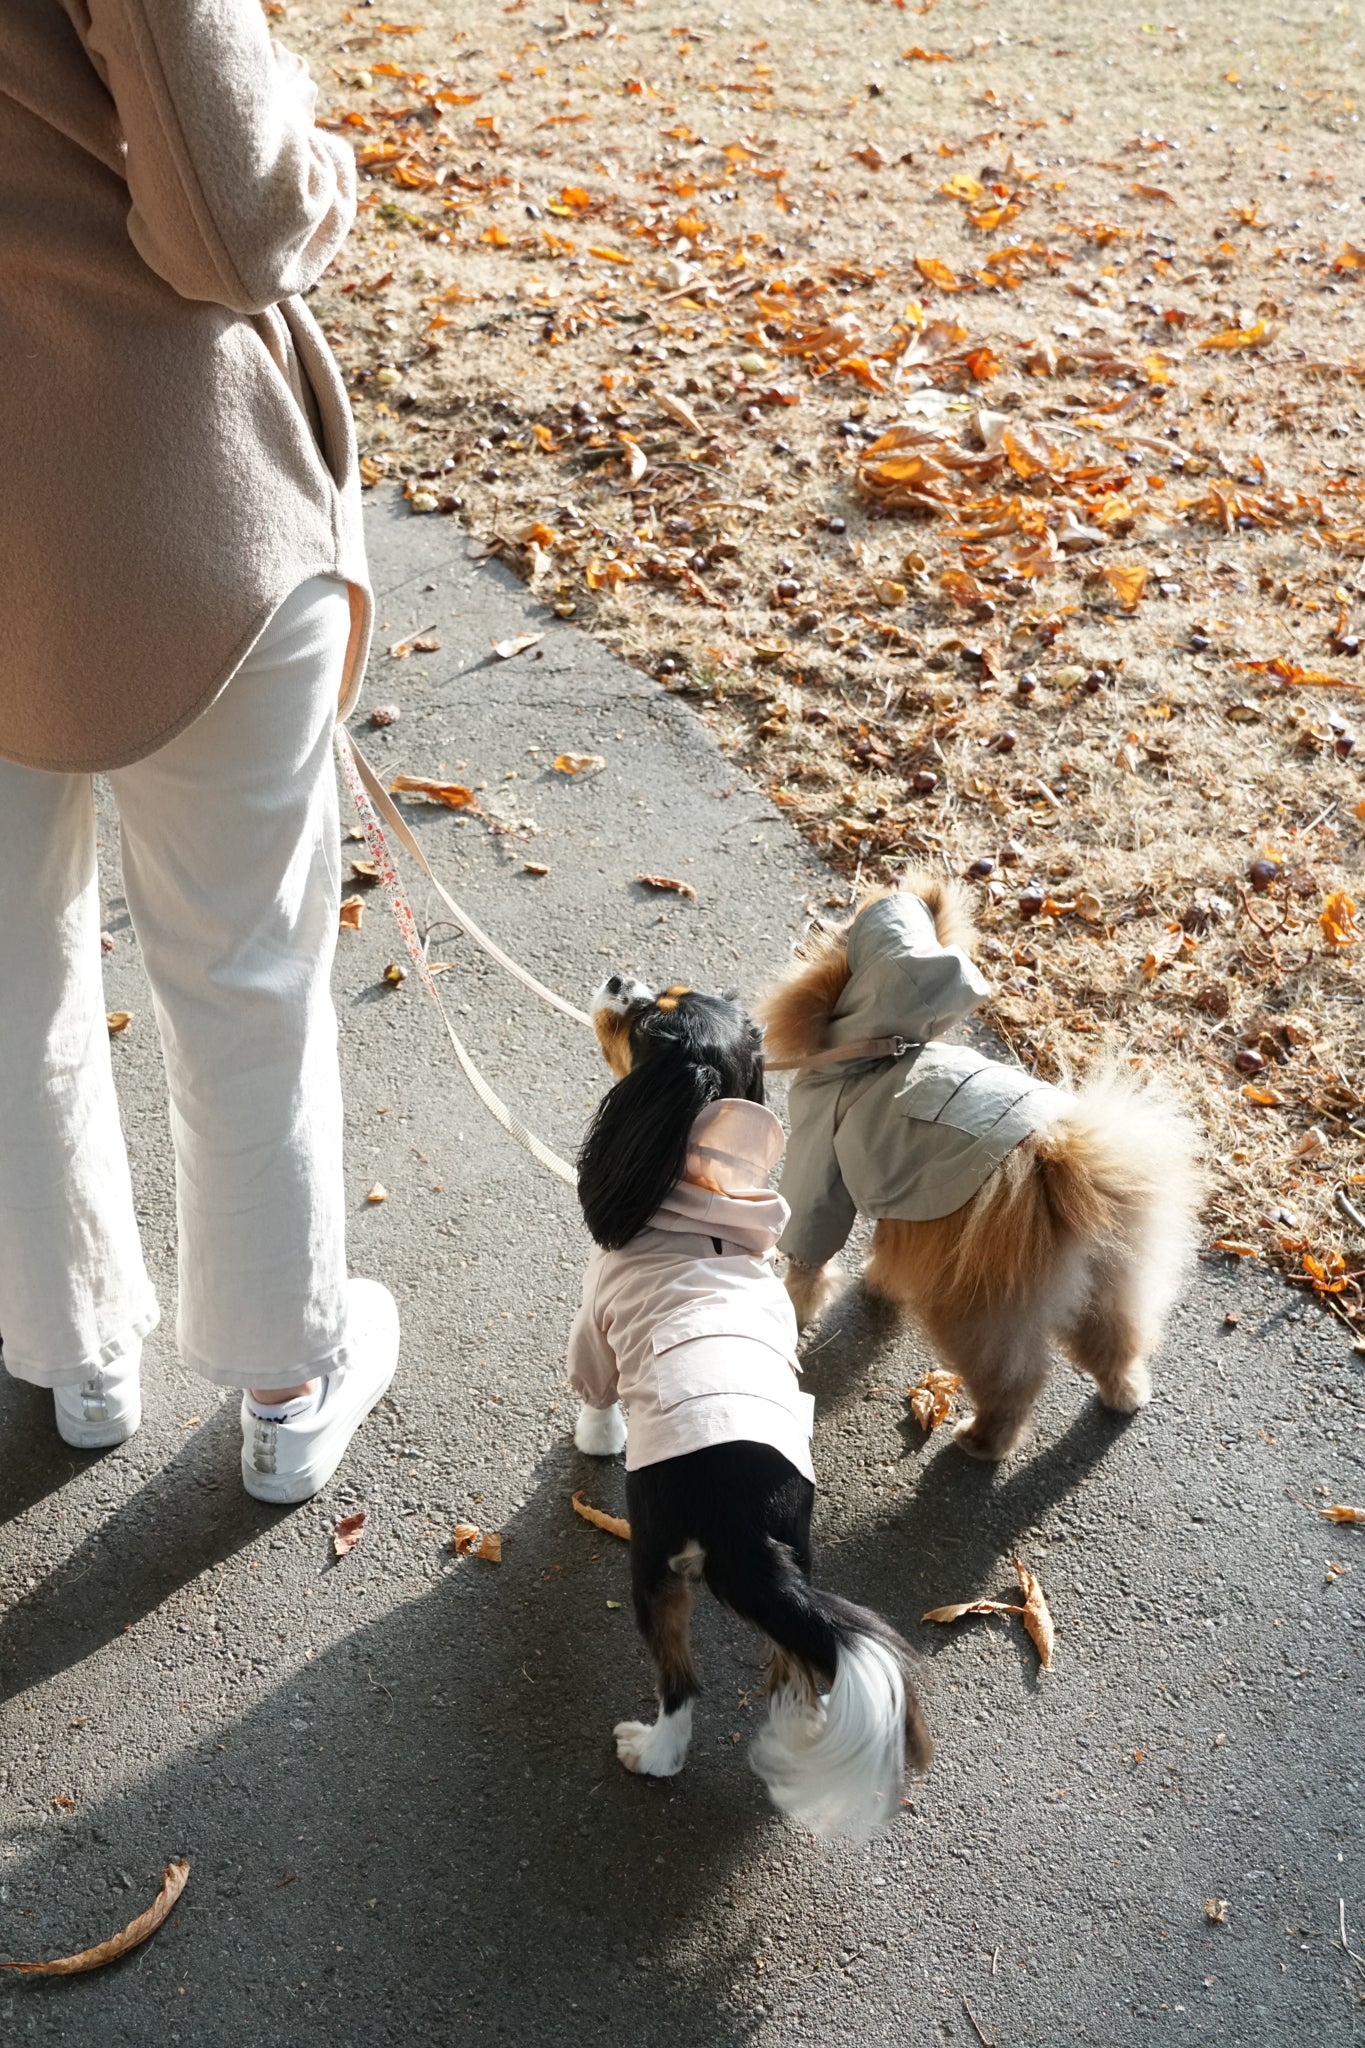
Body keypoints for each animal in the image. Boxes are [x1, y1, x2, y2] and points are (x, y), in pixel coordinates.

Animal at [757, 876, 1203, 1458]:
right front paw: (881, 1282)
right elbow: (886, 1244)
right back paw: (1125, 1393)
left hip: (977, 1310)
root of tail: (1058, 1163)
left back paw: (983, 1440)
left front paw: (795, 1306)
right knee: (1115, 1342)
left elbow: (809, 1256)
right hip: (1109, 1283)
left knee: (1013, 1383)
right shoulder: (904, 1197)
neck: (877, 1050)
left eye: (846, 923)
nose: (816, 920)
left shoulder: (820, 1165)